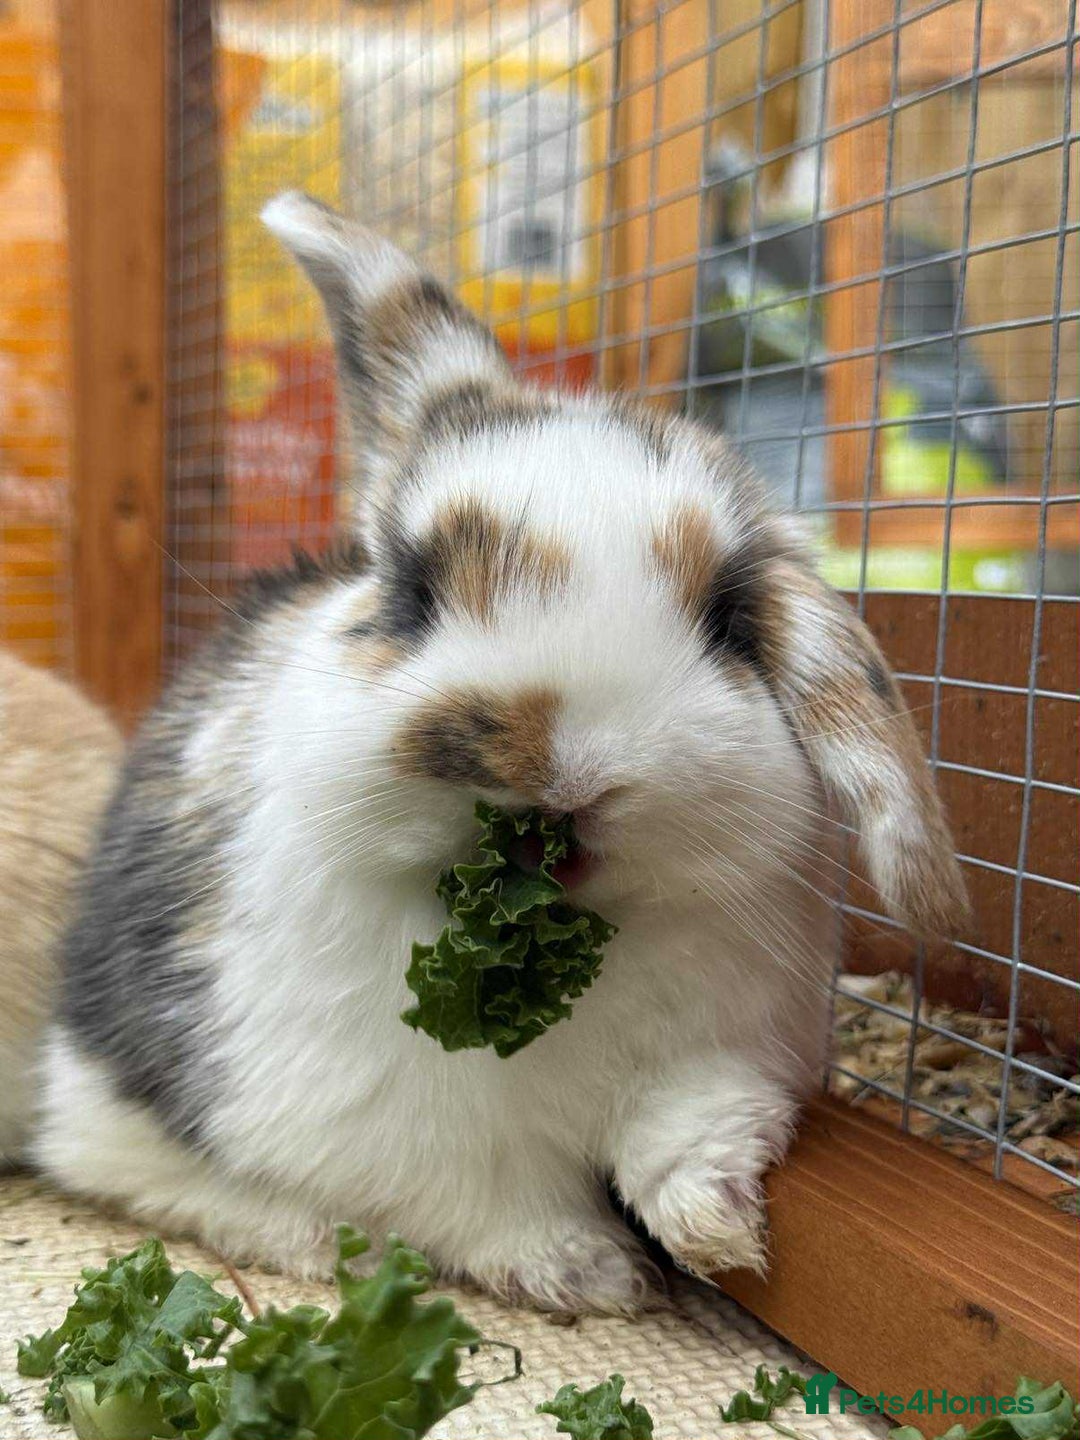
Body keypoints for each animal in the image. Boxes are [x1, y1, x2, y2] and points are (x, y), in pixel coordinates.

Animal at [31, 193, 966, 1314]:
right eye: (410, 589)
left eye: (730, 619)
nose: (556, 768)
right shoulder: (408, 1133)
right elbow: (486, 1202)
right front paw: (593, 1275)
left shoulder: (729, 1050)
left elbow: (687, 1130)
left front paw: (715, 1230)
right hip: (109, 1101)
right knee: (149, 1176)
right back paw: (314, 1239)